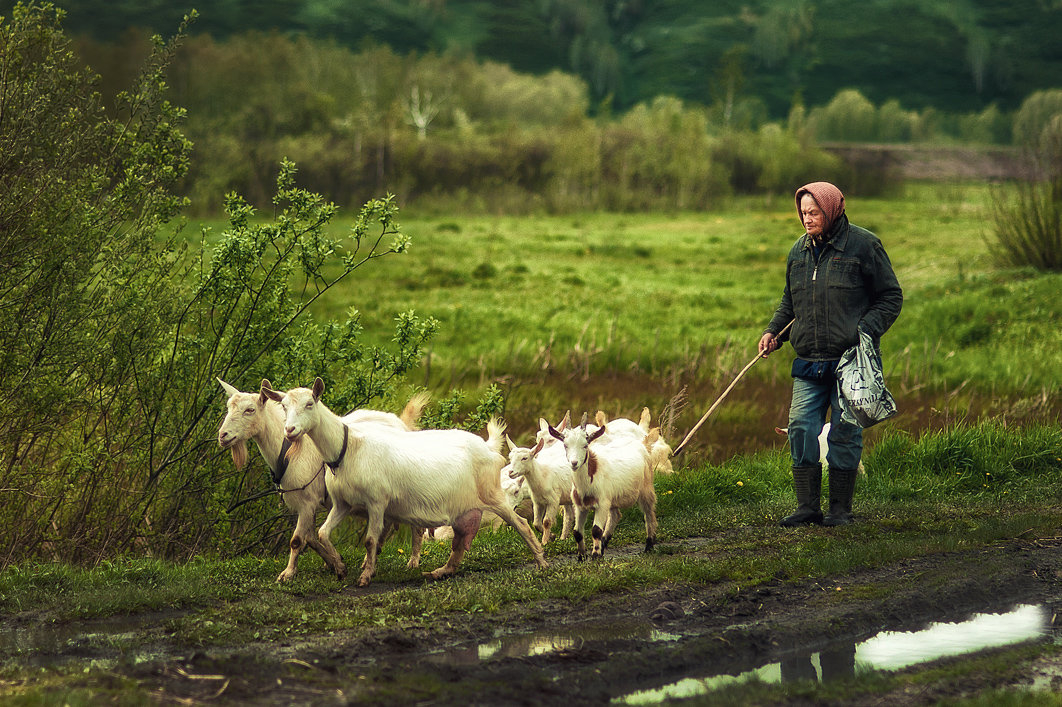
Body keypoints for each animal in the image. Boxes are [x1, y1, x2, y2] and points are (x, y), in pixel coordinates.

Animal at [215, 377, 426, 581]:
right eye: (228, 407)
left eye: (250, 410)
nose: (223, 435)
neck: (290, 451)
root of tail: (402, 423)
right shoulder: (305, 503)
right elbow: (311, 539)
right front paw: (336, 564)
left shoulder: (307, 502)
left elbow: (297, 540)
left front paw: (288, 574)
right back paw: (370, 561)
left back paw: (413, 561)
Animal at [263, 377, 547, 585]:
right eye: (284, 407)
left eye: (310, 404)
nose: (290, 430)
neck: (349, 448)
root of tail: (488, 447)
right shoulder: (342, 503)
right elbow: (323, 533)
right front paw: (341, 567)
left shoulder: (377, 502)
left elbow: (370, 540)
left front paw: (365, 576)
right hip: (464, 508)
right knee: (459, 544)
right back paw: (439, 572)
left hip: (493, 494)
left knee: (521, 524)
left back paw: (541, 561)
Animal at [547, 409, 654, 560]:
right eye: (565, 445)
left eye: (585, 445)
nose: (574, 463)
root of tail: (642, 444)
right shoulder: (580, 506)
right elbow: (577, 532)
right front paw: (581, 557)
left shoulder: (602, 504)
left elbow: (596, 530)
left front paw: (595, 555)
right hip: (613, 497)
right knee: (615, 515)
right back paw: (604, 544)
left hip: (646, 488)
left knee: (649, 513)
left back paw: (649, 546)